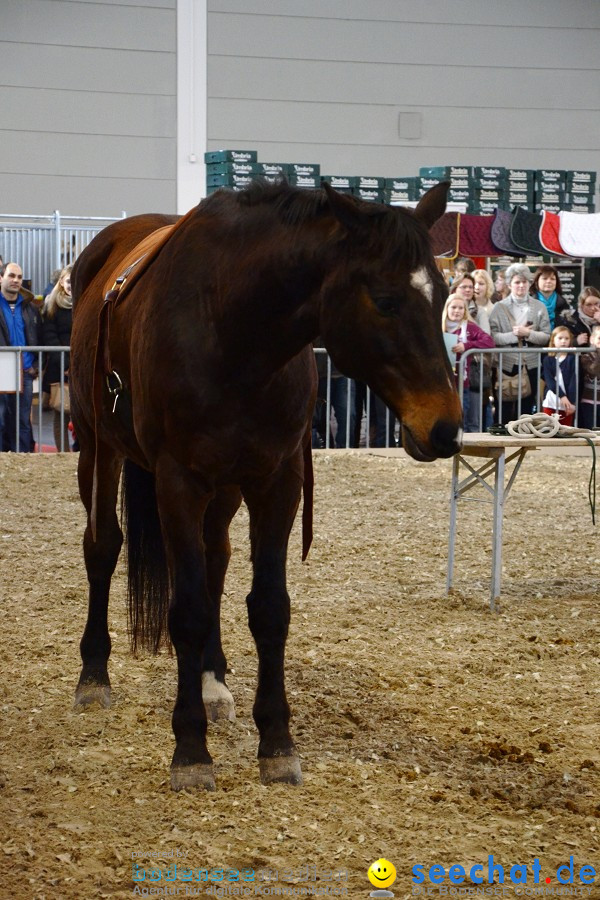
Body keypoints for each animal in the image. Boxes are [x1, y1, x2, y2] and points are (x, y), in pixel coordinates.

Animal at [71, 179, 464, 792]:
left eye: (443, 294)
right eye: (385, 300)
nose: (445, 427)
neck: (233, 330)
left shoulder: (277, 481)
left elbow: (269, 608)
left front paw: (277, 741)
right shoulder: (178, 482)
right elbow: (186, 610)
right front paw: (190, 751)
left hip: (226, 488)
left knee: (215, 557)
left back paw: (212, 681)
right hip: (98, 447)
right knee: (103, 546)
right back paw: (94, 675)